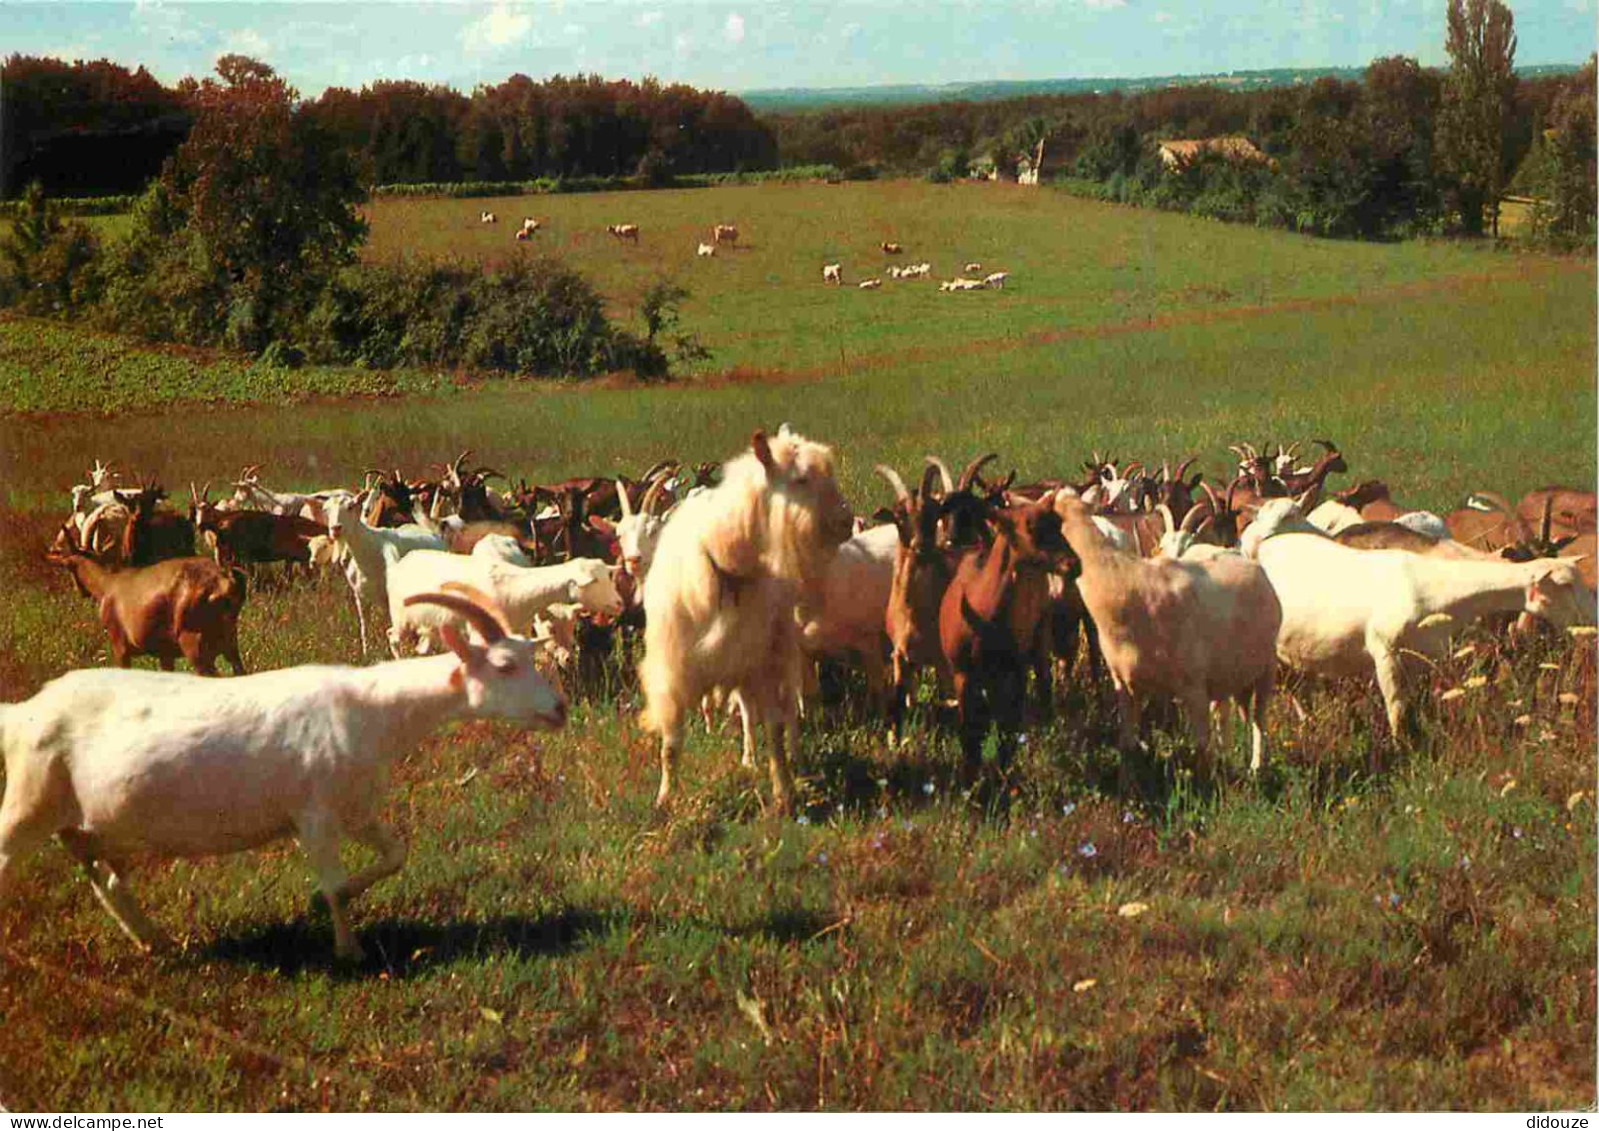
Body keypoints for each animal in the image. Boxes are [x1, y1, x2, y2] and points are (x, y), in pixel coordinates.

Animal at [0, 588, 566, 959]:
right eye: (505, 665)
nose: (559, 710)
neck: (369, 708)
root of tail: (23, 712)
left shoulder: (354, 808)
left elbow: (395, 854)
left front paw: (322, 906)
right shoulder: (314, 816)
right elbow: (335, 885)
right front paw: (350, 952)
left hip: (88, 824)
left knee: (107, 881)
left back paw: (155, 942)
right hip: (28, 802)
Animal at [48, 527, 247, 678]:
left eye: (68, 566)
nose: (80, 591)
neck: (105, 585)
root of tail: (226, 581)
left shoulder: (119, 642)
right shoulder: (165, 652)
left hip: (193, 640)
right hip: (229, 640)